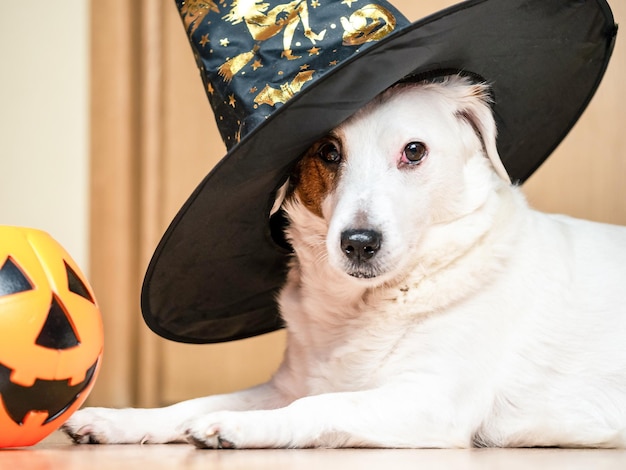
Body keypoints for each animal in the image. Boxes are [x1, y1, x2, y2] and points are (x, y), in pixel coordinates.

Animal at [63, 76, 624, 448]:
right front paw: (123, 420)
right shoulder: (285, 384)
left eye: (414, 151)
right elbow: (195, 403)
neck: (366, 306)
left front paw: (242, 427)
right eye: (328, 153)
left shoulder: (431, 400)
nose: (358, 242)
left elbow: (322, 404)